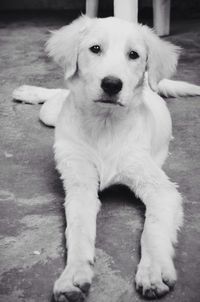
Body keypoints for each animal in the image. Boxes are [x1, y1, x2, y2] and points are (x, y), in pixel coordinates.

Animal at [14, 15, 200, 302]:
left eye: (134, 55)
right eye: (95, 49)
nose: (112, 84)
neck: (105, 123)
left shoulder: (161, 189)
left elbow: (153, 229)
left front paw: (153, 270)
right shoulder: (79, 184)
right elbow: (78, 230)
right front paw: (73, 276)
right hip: (52, 114)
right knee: (58, 93)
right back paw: (28, 92)